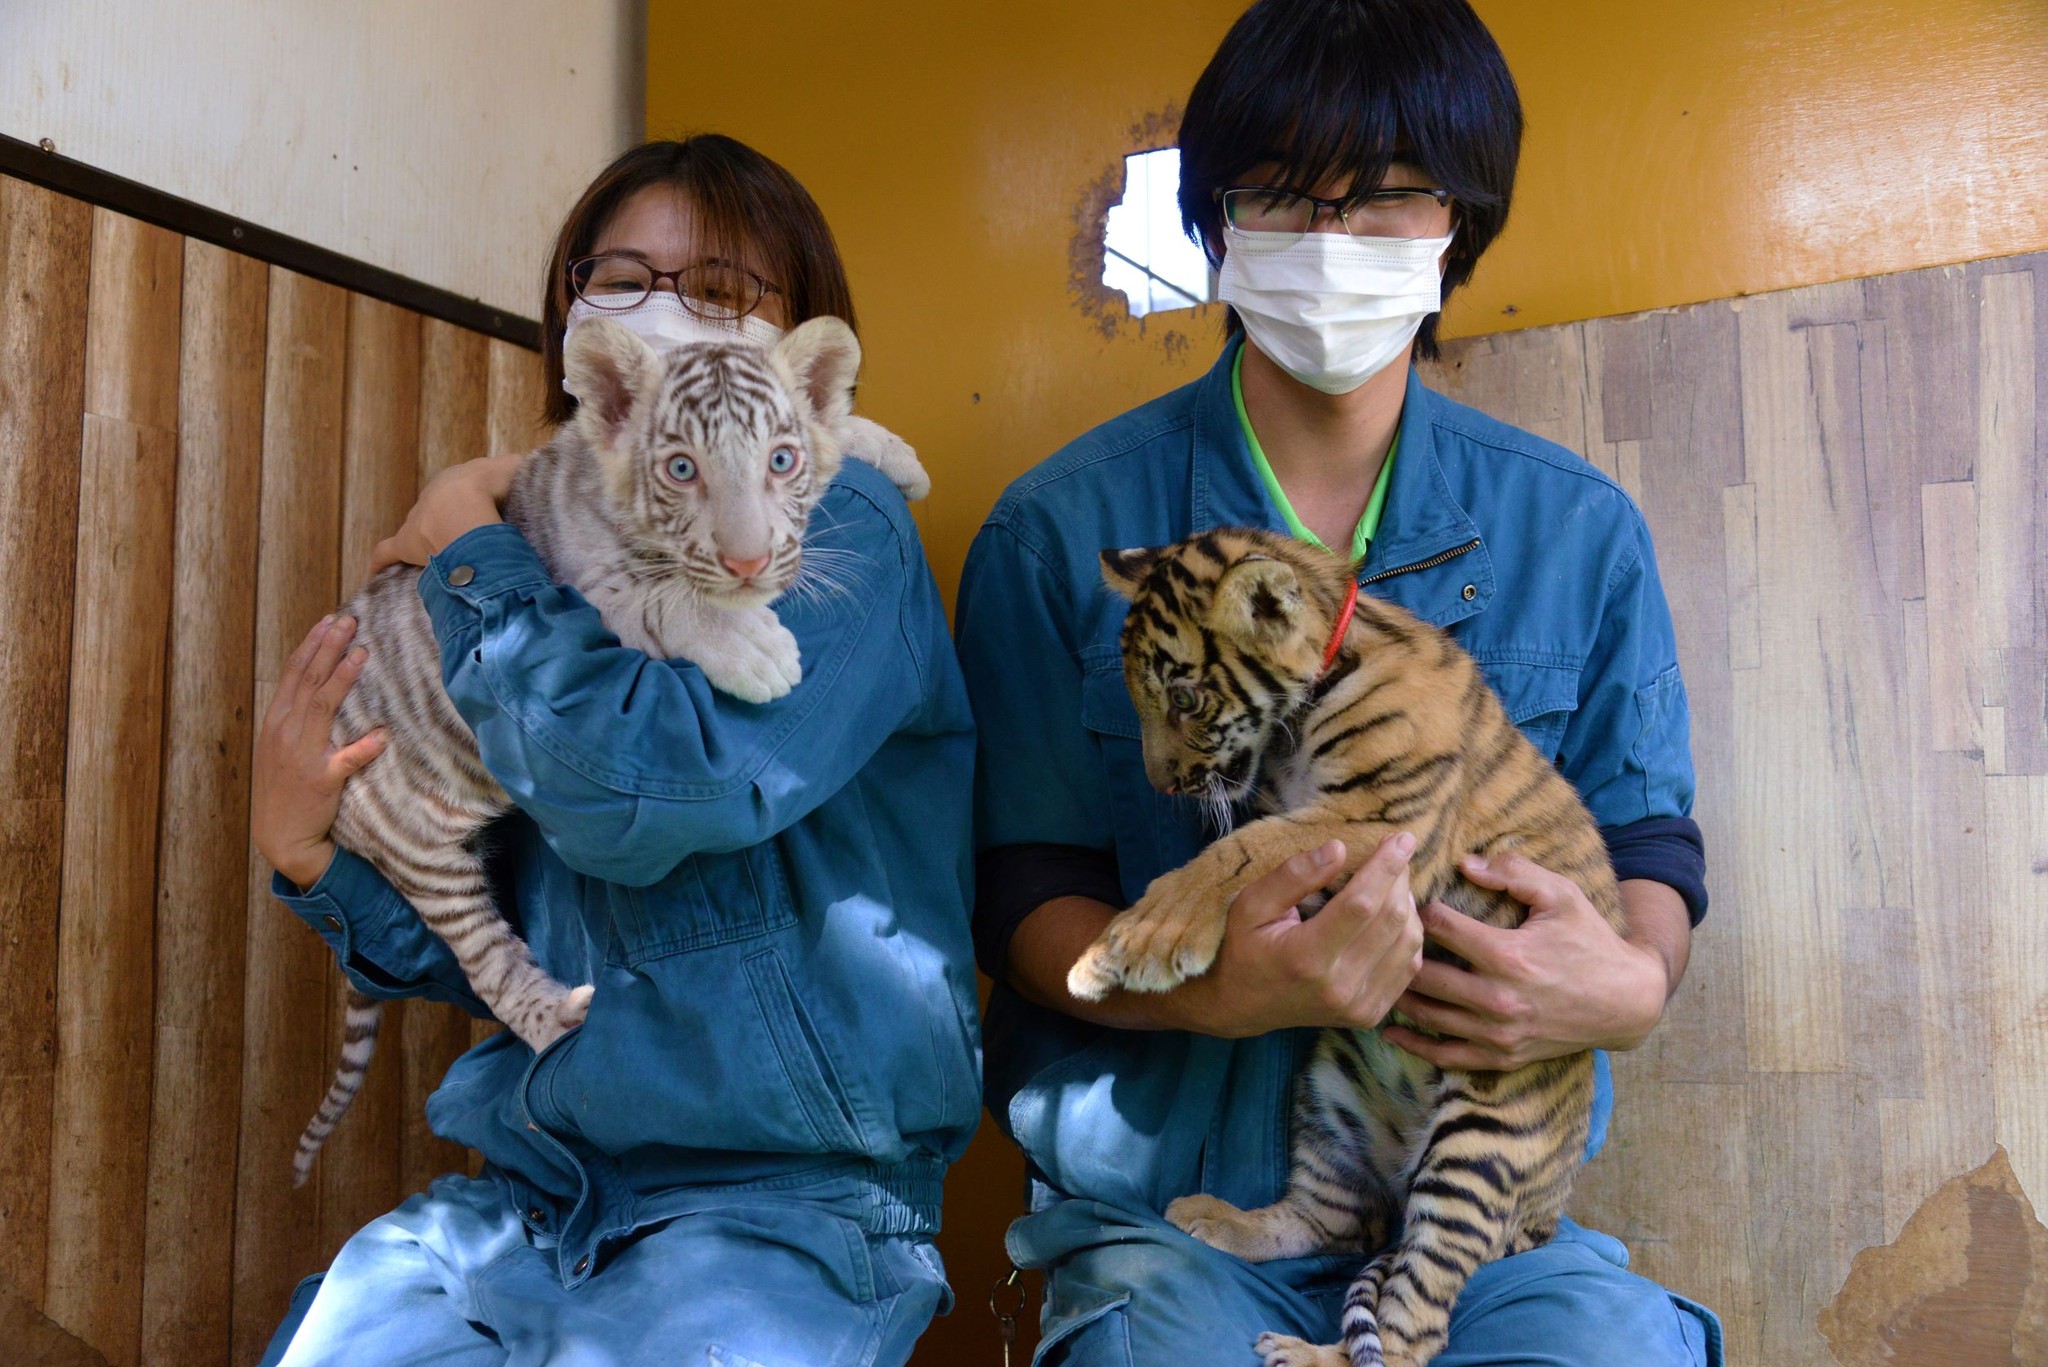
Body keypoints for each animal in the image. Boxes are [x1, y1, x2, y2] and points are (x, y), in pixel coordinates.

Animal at [1066, 526, 1625, 1367]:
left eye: (1186, 698)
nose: (1162, 782)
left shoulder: (1380, 821)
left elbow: (1242, 852)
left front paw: (1134, 943)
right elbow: (1248, 842)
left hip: (1478, 1146)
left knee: (1413, 1327)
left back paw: (1307, 1352)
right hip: (1329, 1098)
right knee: (1333, 1222)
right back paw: (1218, 1218)